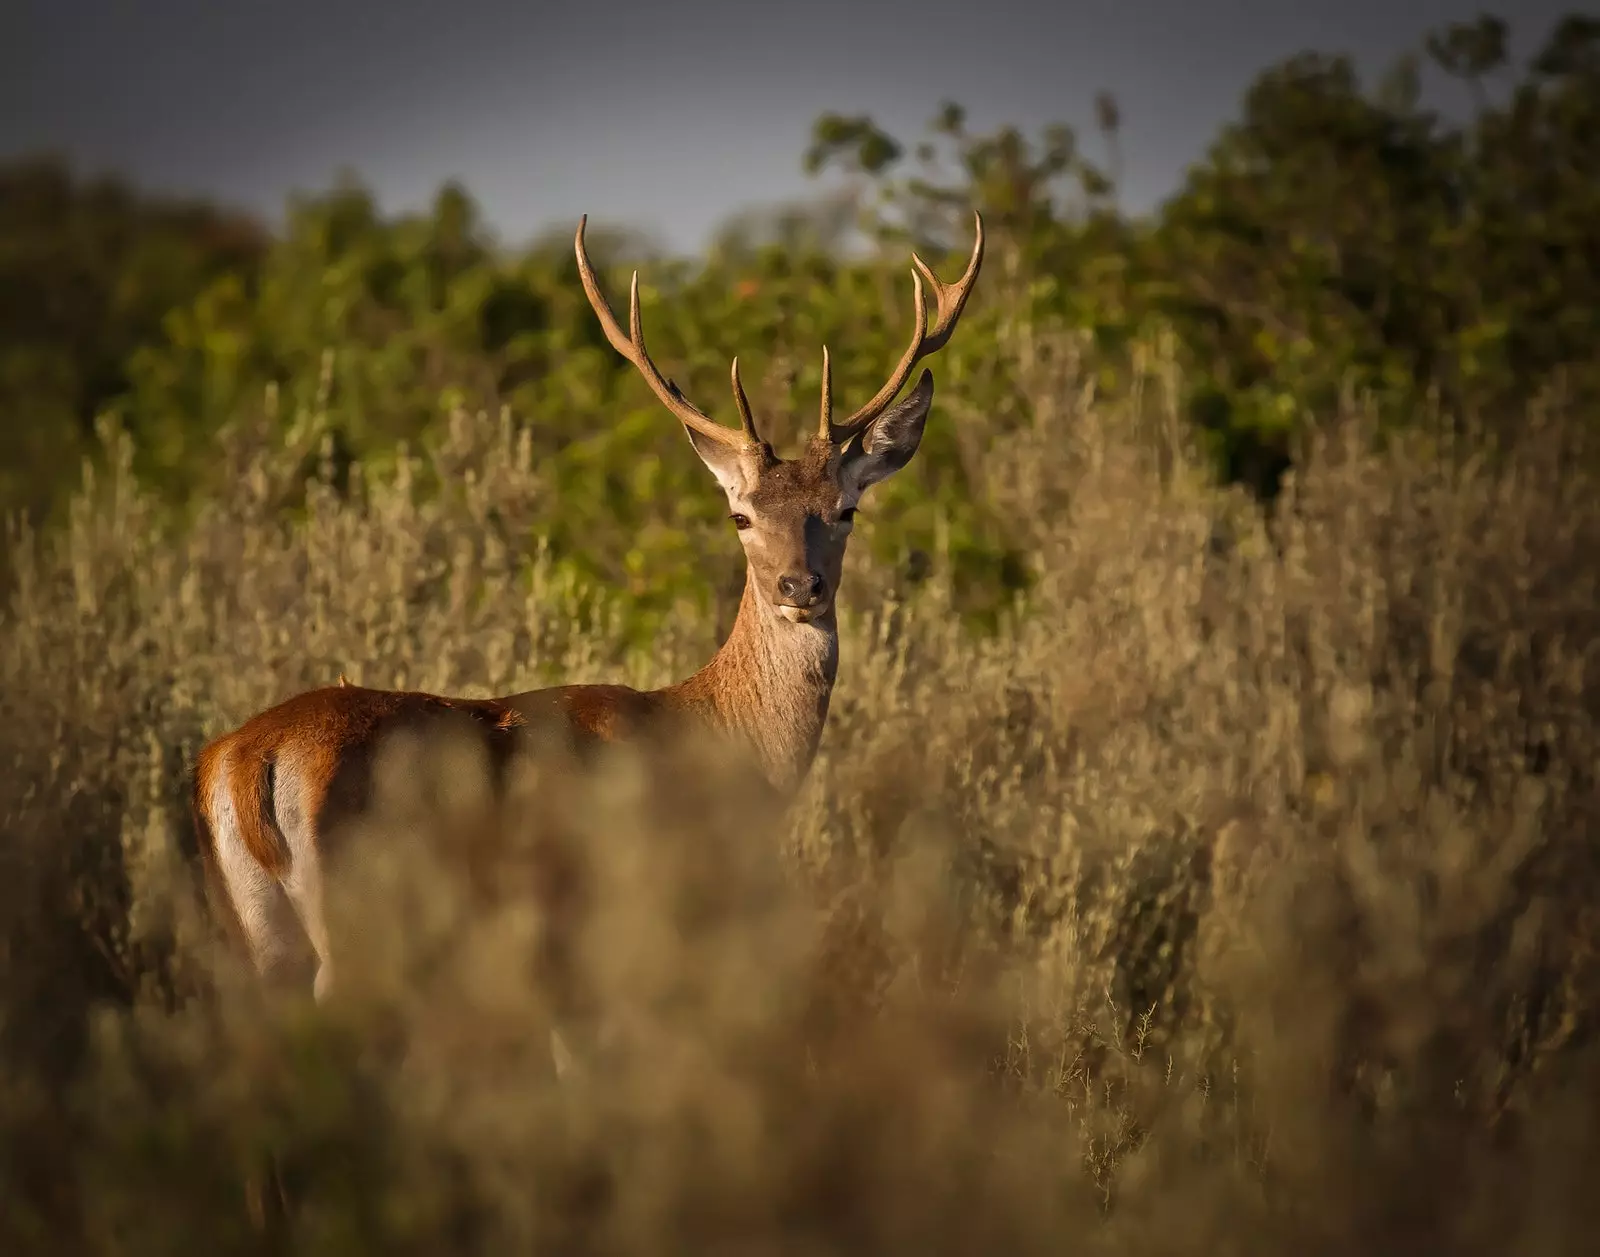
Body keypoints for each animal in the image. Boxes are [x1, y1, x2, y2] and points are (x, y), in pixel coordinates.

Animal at [192, 211, 979, 1017]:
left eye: (846, 509)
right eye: (741, 516)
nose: (800, 585)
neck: (713, 738)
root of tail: (246, 761)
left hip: (258, 933)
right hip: (360, 918)